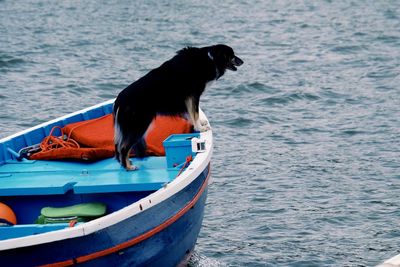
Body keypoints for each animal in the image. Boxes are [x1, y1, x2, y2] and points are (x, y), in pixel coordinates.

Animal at [113, 43, 244, 170]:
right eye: (232, 56)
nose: (242, 61)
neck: (210, 58)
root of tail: (120, 99)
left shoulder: (188, 98)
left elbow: (192, 113)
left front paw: (199, 124)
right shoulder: (193, 95)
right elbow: (195, 112)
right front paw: (200, 127)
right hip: (139, 125)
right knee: (124, 147)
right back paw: (129, 167)